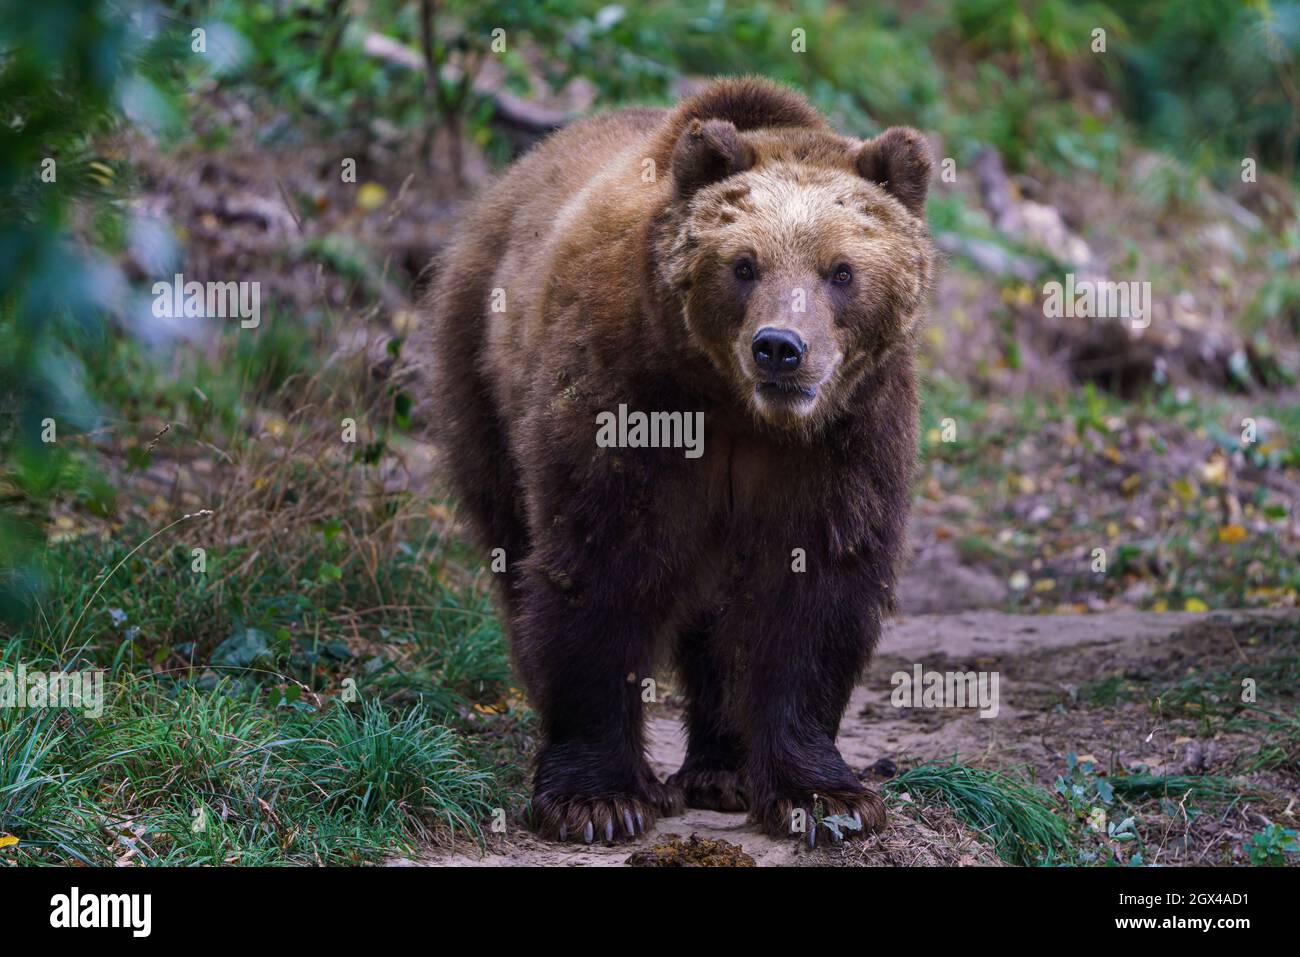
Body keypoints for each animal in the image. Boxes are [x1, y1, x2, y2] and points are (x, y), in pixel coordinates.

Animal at [426, 78, 935, 847]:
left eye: (841, 271)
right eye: (744, 263)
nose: (780, 348)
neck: (736, 410)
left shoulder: (846, 438)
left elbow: (816, 589)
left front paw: (825, 797)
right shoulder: (630, 399)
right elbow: (600, 569)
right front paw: (598, 800)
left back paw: (722, 771)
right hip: (479, 372)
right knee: (513, 550)